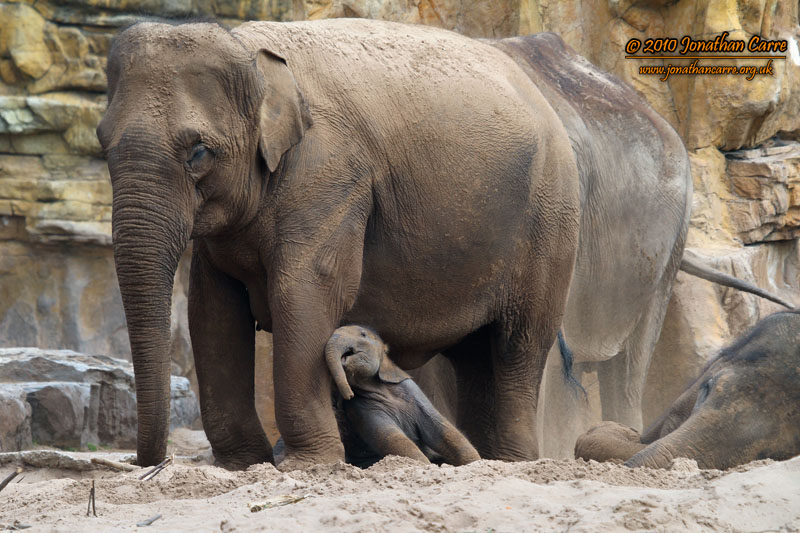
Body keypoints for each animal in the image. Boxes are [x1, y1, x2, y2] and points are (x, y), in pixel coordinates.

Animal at [322, 322, 478, 464]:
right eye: (350, 398)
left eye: (363, 334)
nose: (348, 395)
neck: (378, 385)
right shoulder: (360, 408)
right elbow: (393, 439)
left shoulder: (413, 391)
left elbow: (443, 429)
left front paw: (475, 461)